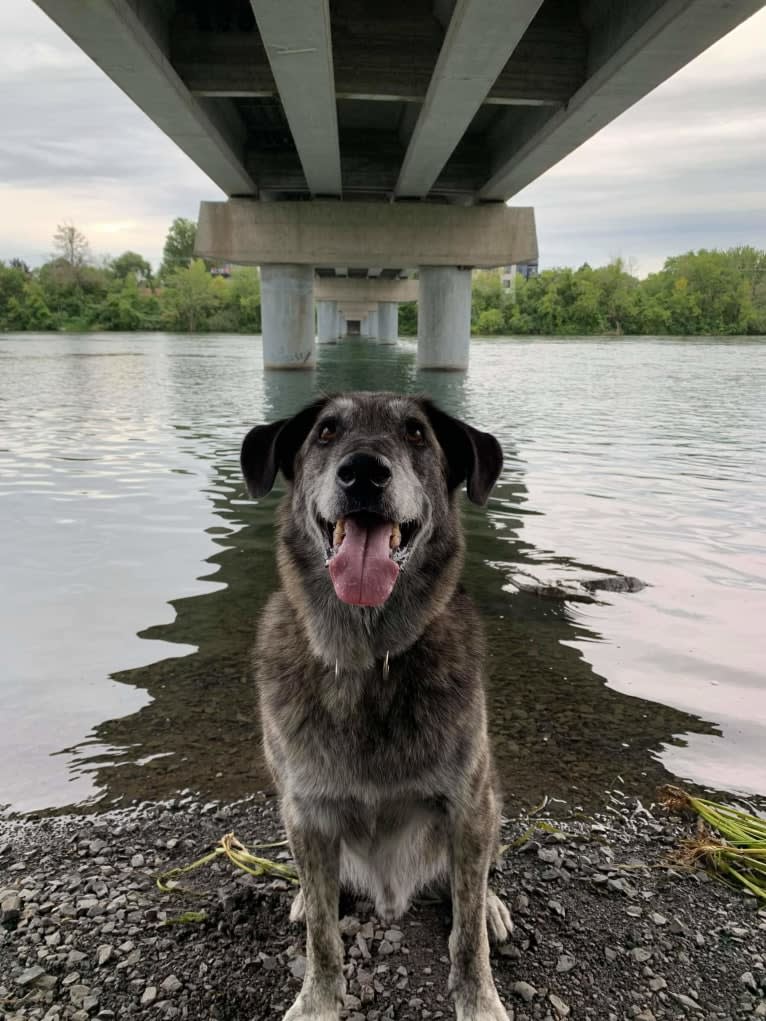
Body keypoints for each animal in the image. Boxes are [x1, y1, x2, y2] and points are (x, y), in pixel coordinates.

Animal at [243, 392, 512, 1021]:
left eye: (415, 433)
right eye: (325, 432)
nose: (363, 471)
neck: (368, 661)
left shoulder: (469, 805)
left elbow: (467, 936)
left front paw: (479, 1000)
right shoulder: (306, 812)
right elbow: (322, 936)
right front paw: (318, 1000)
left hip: (490, 804)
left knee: (475, 883)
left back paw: (490, 903)